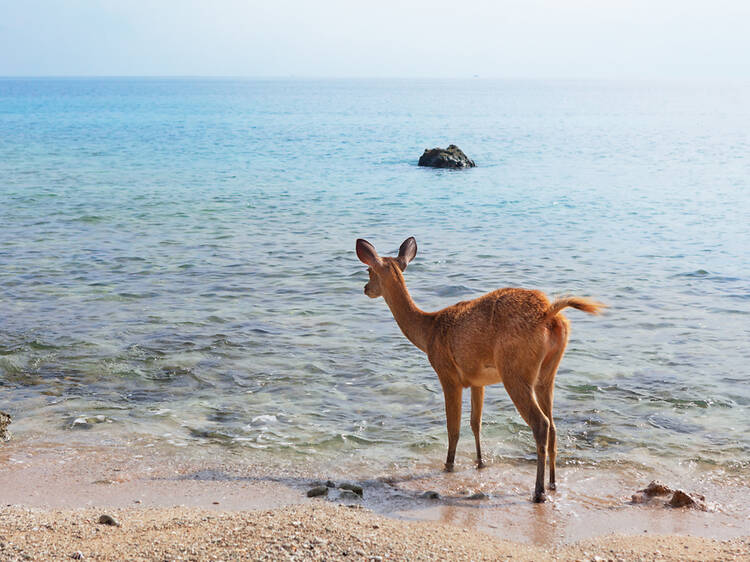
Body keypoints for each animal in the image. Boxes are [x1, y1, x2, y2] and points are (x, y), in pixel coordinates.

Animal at [356, 234, 608, 500]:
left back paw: (538, 491)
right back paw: (552, 483)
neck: (428, 331)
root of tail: (549, 314)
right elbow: (475, 422)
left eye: (369, 269)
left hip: (515, 371)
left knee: (541, 423)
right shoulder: (478, 381)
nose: (365, 288)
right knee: (553, 427)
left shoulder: (447, 374)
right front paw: (480, 462)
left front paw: (449, 465)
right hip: (547, 374)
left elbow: (453, 427)